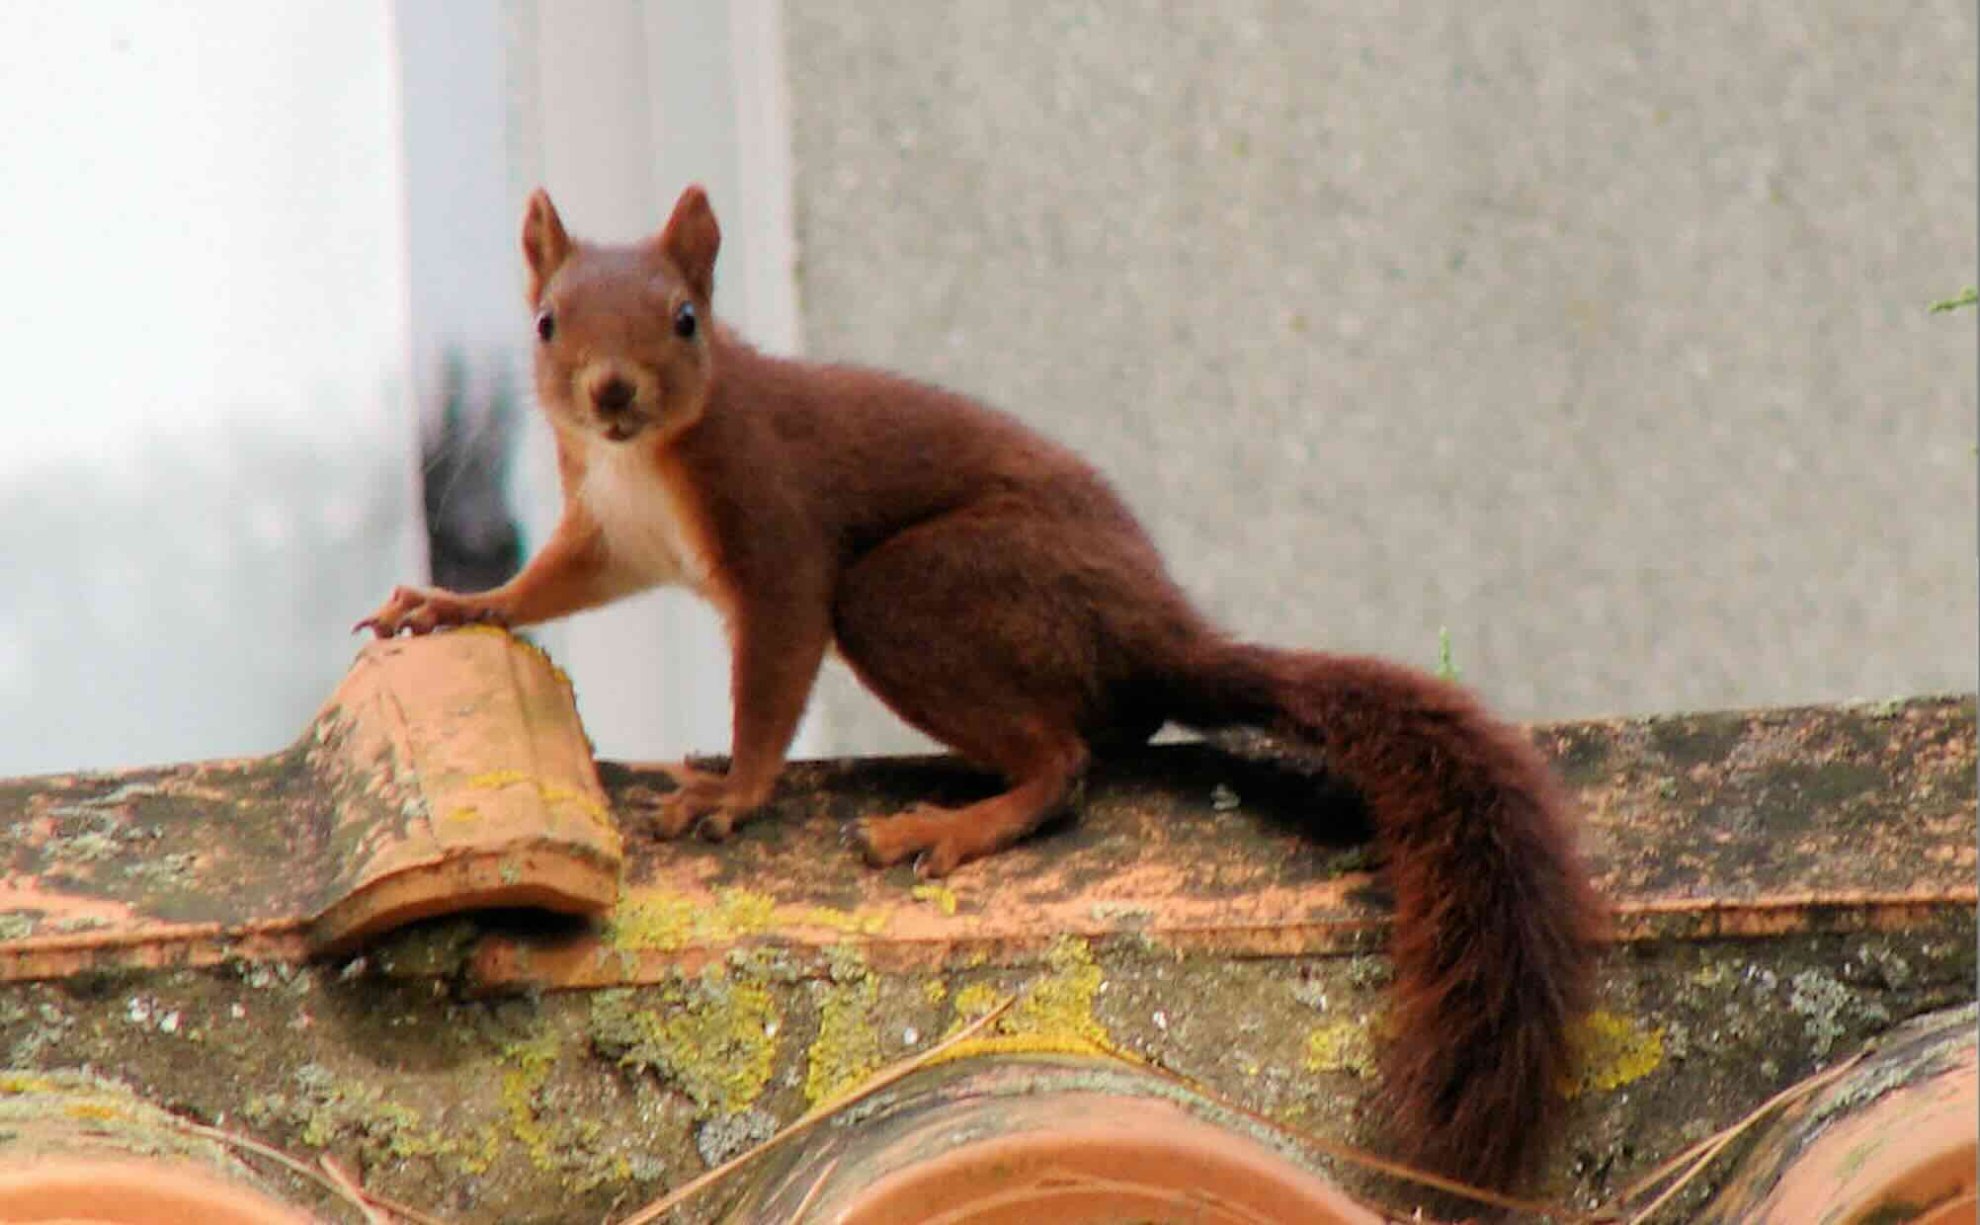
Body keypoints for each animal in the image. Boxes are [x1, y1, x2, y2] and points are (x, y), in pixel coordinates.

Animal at [356, 188, 1599, 1195]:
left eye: (685, 318)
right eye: (547, 321)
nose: (612, 394)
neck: (645, 458)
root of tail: (1160, 630)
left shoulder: (778, 528)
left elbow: (774, 671)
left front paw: (732, 792)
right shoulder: (611, 532)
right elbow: (545, 587)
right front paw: (448, 606)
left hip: (918, 594)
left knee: (1067, 763)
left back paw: (955, 824)